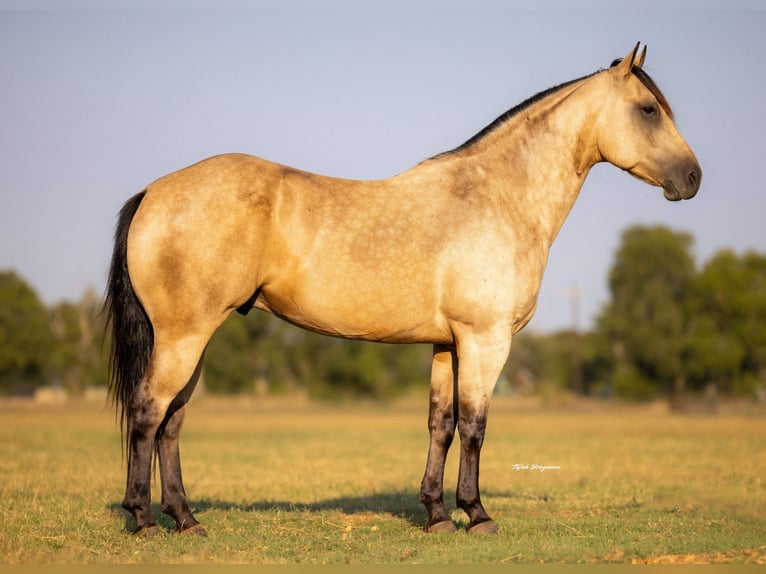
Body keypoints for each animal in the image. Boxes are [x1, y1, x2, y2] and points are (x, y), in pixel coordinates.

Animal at [105, 43, 701, 537]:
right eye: (648, 110)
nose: (693, 178)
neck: (497, 197)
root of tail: (155, 191)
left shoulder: (447, 344)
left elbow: (441, 425)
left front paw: (436, 514)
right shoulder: (486, 341)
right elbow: (475, 426)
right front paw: (477, 515)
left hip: (193, 339)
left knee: (171, 422)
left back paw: (185, 519)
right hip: (184, 337)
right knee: (149, 412)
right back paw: (145, 519)